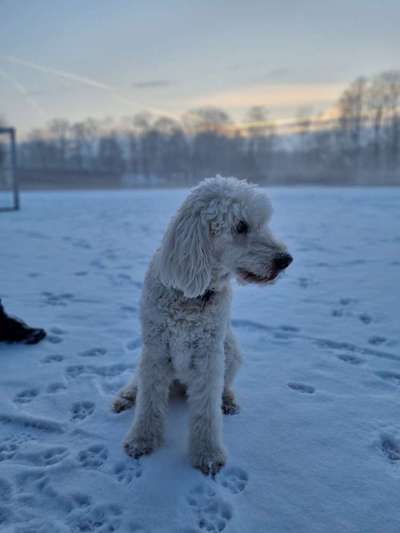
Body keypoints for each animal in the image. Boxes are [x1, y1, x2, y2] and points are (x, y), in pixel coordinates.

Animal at [112, 176, 290, 474]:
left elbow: (207, 411)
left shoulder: (208, 354)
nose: (286, 259)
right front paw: (141, 440)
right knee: (139, 381)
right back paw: (127, 395)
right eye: (240, 226)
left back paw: (227, 400)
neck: (192, 294)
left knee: (225, 384)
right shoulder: (156, 349)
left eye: (263, 222)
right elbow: (149, 401)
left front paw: (207, 454)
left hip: (231, 350)